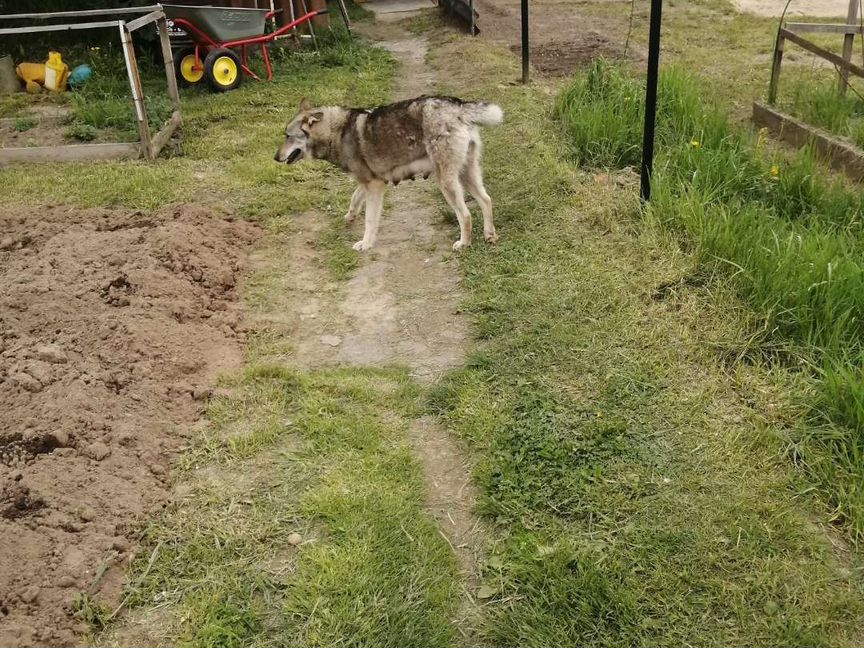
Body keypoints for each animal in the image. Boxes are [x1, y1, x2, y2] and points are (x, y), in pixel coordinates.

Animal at [276, 95, 502, 252]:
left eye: (288, 136)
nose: (275, 157)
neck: (338, 131)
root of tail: (458, 106)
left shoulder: (374, 186)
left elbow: (370, 220)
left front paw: (365, 244)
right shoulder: (370, 181)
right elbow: (355, 198)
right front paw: (350, 217)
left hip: (447, 181)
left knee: (465, 214)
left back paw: (464, 243)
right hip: (466, 174)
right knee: (486, 200)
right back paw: (489, 235)